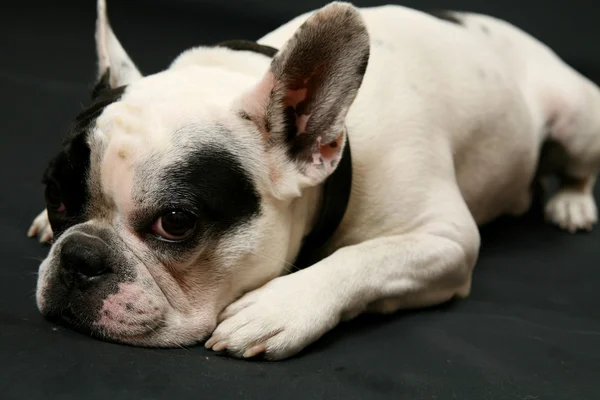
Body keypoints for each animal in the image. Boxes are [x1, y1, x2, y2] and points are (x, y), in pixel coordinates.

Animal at [27, 0, 600, 360]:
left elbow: (366, 257)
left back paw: (572, 203)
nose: (79, 257)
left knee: (578, 168)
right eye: (56, 197)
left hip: (578, 119)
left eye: (175, 223)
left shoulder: (447, 239)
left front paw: (280, 306)